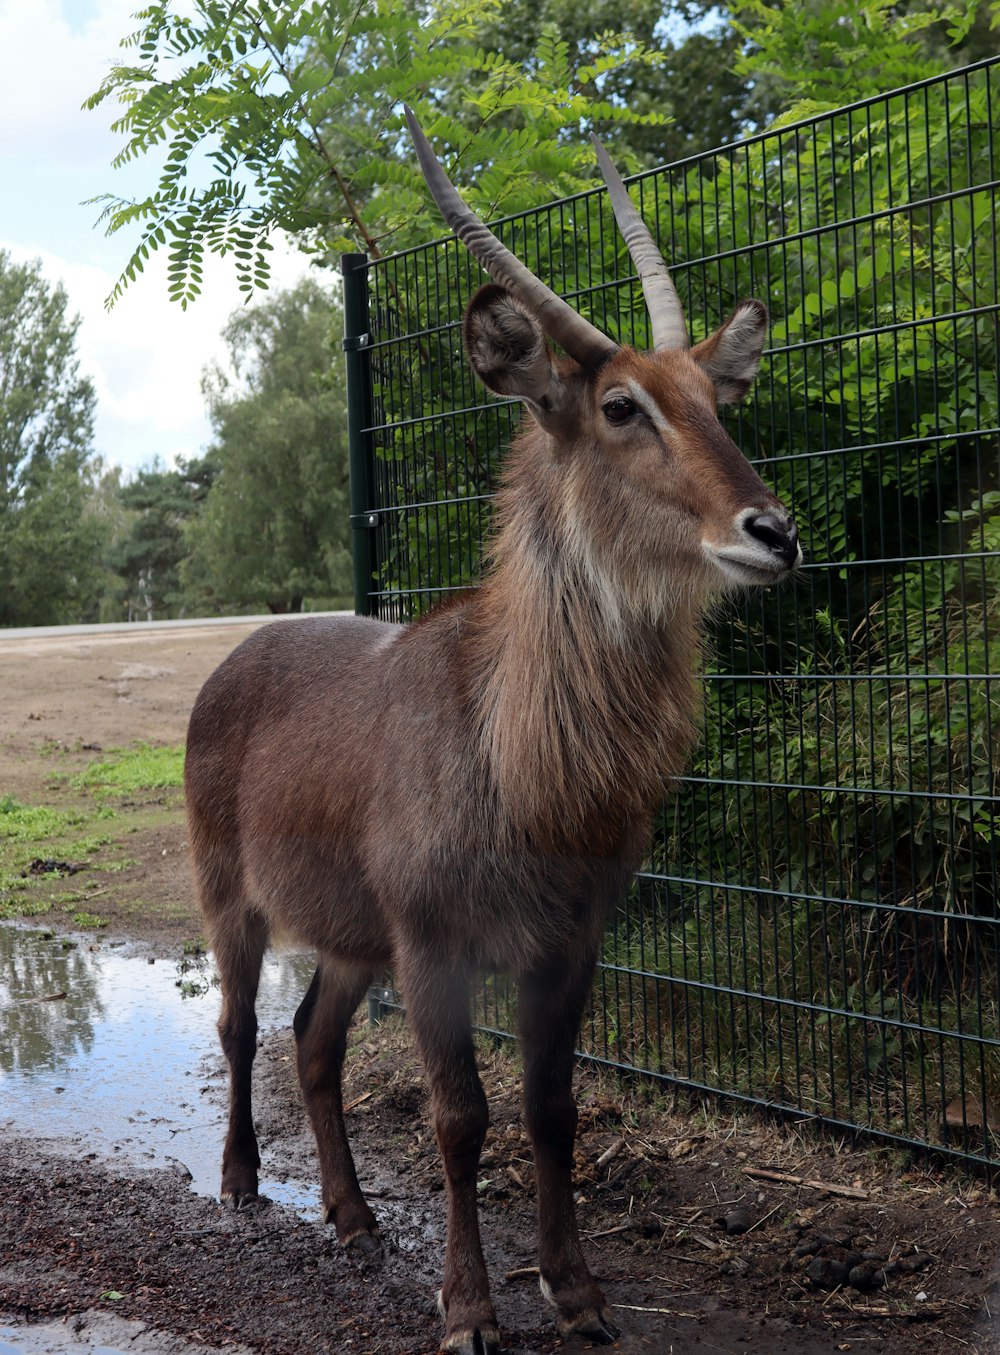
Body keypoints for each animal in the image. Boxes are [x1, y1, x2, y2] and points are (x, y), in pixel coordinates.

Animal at [182, 108, 796, 1355]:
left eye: (718, 401)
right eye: (621, 405)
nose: (774, 530)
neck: (522, 758)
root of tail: (236, 653)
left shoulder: (569, 936)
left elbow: (552, 1108)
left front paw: (578, 1289)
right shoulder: (433, 940)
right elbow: (459, 1115)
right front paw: (467, 1308)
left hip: (349, 934)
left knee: (312, 1040)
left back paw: (352, 1213)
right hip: (237, 901)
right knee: (238, 1026)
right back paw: (241, 1179)